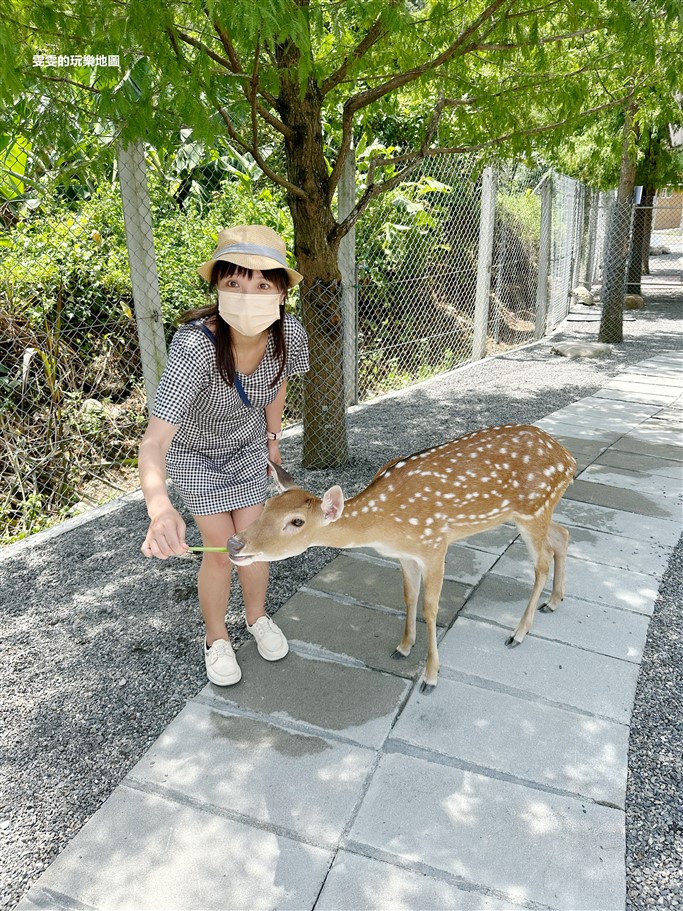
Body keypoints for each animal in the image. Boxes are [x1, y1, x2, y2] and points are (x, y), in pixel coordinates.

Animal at [228, 428, 576, 692]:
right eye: (267, 505)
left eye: (296, 522)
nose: (234, 542)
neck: (385, 524)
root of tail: (569, 459)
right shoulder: (406, 555)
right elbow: (409, 596)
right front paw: (403, 647)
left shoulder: (434, 545)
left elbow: (430, 609)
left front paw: (431, 676)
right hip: (532, 513)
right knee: (563, 534)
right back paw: (554, 602)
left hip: (533, 509)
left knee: (541, 562)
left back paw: (518, 633)